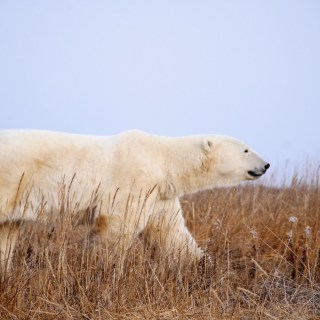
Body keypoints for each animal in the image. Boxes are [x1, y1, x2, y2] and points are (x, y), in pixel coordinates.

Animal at [0, 129, 270, 268]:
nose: (266, 164)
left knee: (8, 229)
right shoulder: (133, 181)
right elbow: (115, 228)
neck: (162, 159)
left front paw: (203, 266)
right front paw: (102, 268)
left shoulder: (160, 195)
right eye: (245, 149)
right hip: (11, 178)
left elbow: (171, 233)